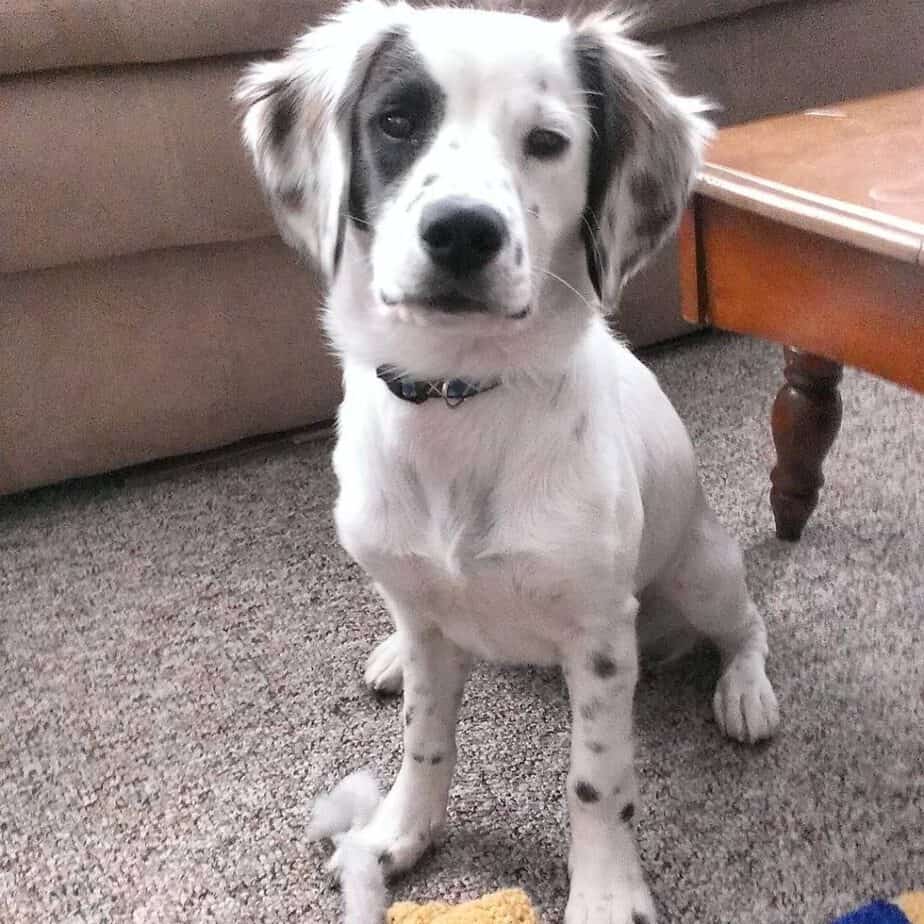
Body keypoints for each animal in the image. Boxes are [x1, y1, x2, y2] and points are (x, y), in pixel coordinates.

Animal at [238, 3, 780, 920]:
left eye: (548, 142)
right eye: (396, 122)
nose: (462, 231)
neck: (461, 397)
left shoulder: (599, 636)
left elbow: (596, 783)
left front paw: (604, 892)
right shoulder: (426, 615)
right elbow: (425, 740)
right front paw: (399, 833)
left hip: (700, 570)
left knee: (745, 625)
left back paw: (746, 690)